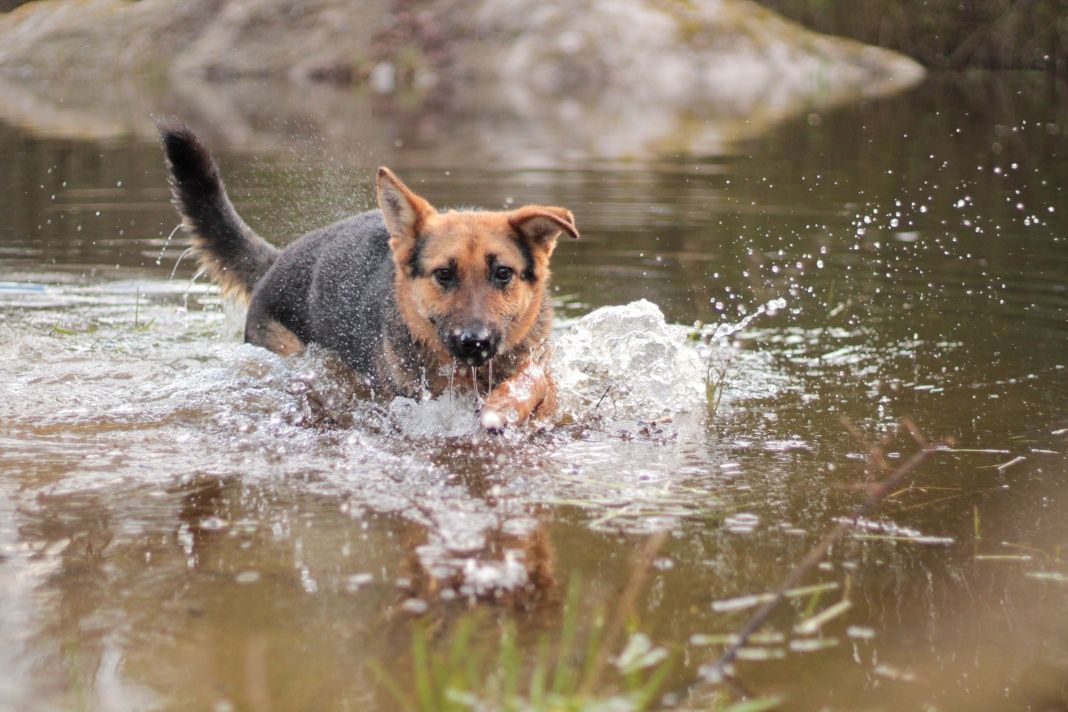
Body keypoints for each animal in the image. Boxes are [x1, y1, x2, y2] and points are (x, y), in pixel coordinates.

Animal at [160, 122, 576, 429]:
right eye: (443, 274)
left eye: (503, 273)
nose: (475, 342)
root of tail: (277, 260)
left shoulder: (539, 369)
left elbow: (535, 382)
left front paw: (505, 405)